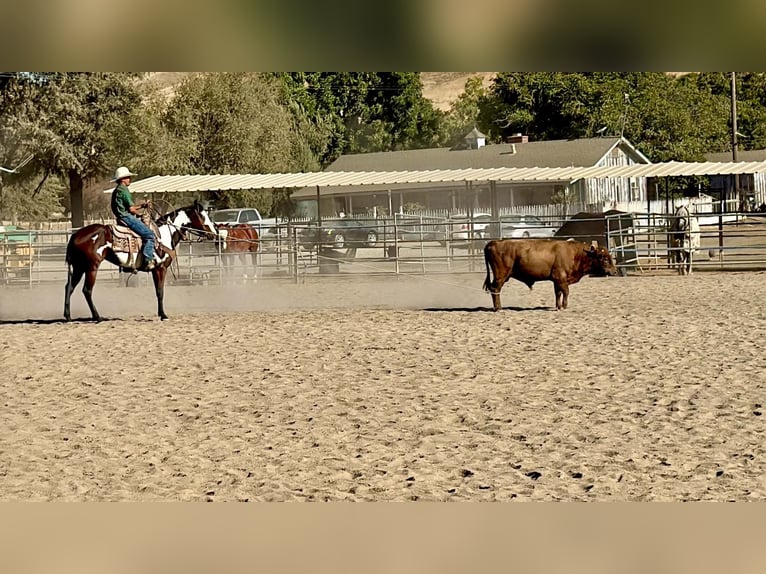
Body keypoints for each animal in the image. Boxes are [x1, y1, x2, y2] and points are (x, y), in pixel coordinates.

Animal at [64, 200, 217, 321]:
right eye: (203, 216)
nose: (214, 233)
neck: (163, 235)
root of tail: (76, 235)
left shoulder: (156, 270)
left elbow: (158, 291)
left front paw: (161, 314)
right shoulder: (160, 268)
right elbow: (160, 292)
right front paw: (163, 315)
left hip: (79, 267)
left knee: (69, 287)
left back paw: (68, 316)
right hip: (91, 267)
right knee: (87, 290)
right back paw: (97, 317)